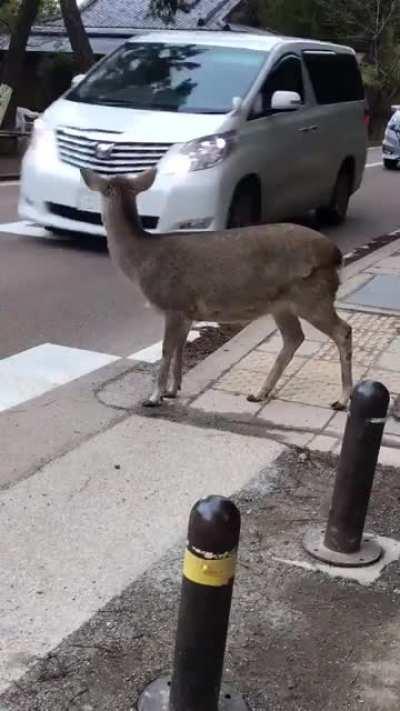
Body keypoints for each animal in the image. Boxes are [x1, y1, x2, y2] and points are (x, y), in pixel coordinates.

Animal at [81, 168, 352, 409]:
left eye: (103, 188)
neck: (141, 262)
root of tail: (336, 254)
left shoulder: (173, 302)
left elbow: (167, 349)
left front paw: (154, 397)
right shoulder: (187, 310)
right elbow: (180, 348)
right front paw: (173, 390)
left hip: (312, 296)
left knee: (343, 330)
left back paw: (341, 399)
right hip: (282, 305)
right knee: (294, 338)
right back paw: (259, 393)